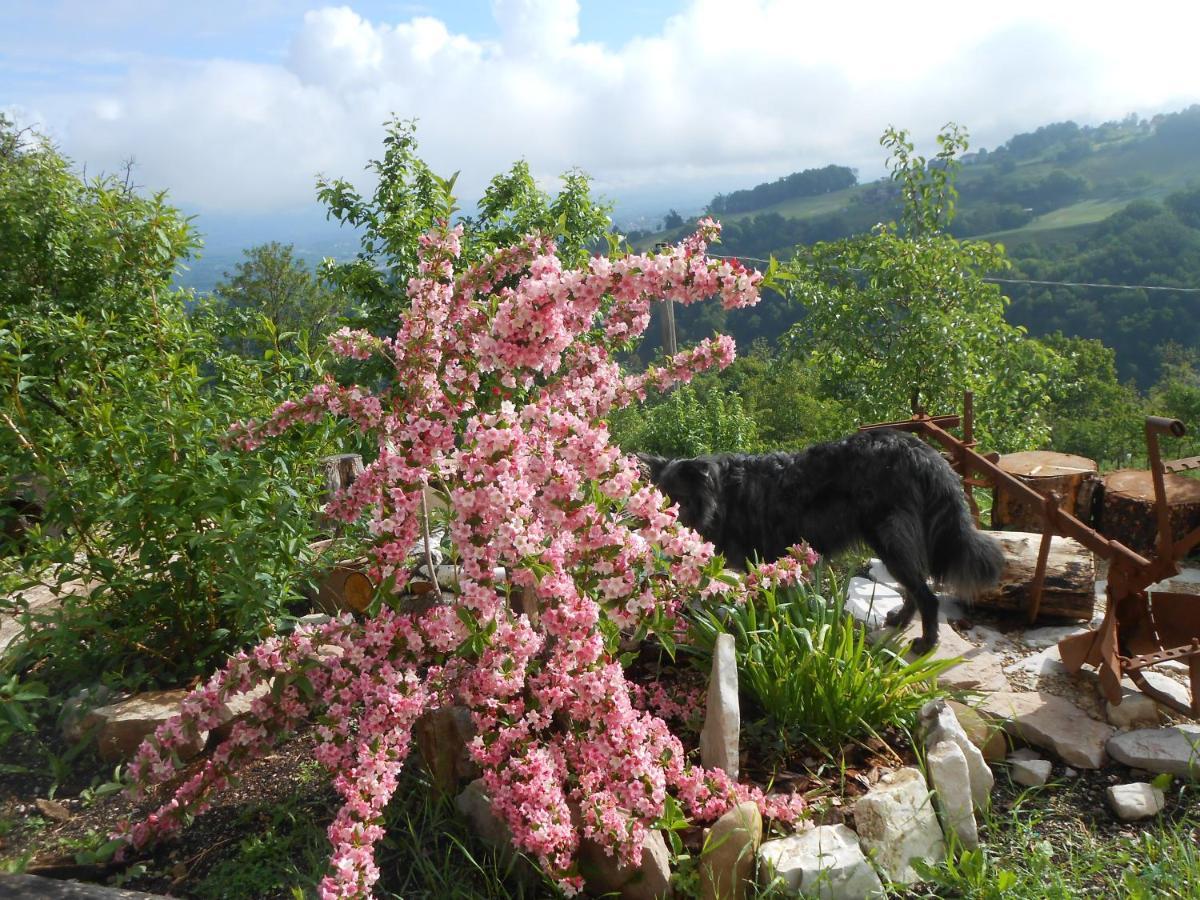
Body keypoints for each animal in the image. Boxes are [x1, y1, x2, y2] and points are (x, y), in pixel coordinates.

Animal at [643, 432, 1008, 657]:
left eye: (675, 499)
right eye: (656, 497)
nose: (653, 527)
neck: (722, 497)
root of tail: (920, 450)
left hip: (887, 540)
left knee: (926, 595)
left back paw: (926, 642)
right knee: (915, 588)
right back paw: (900, 620)